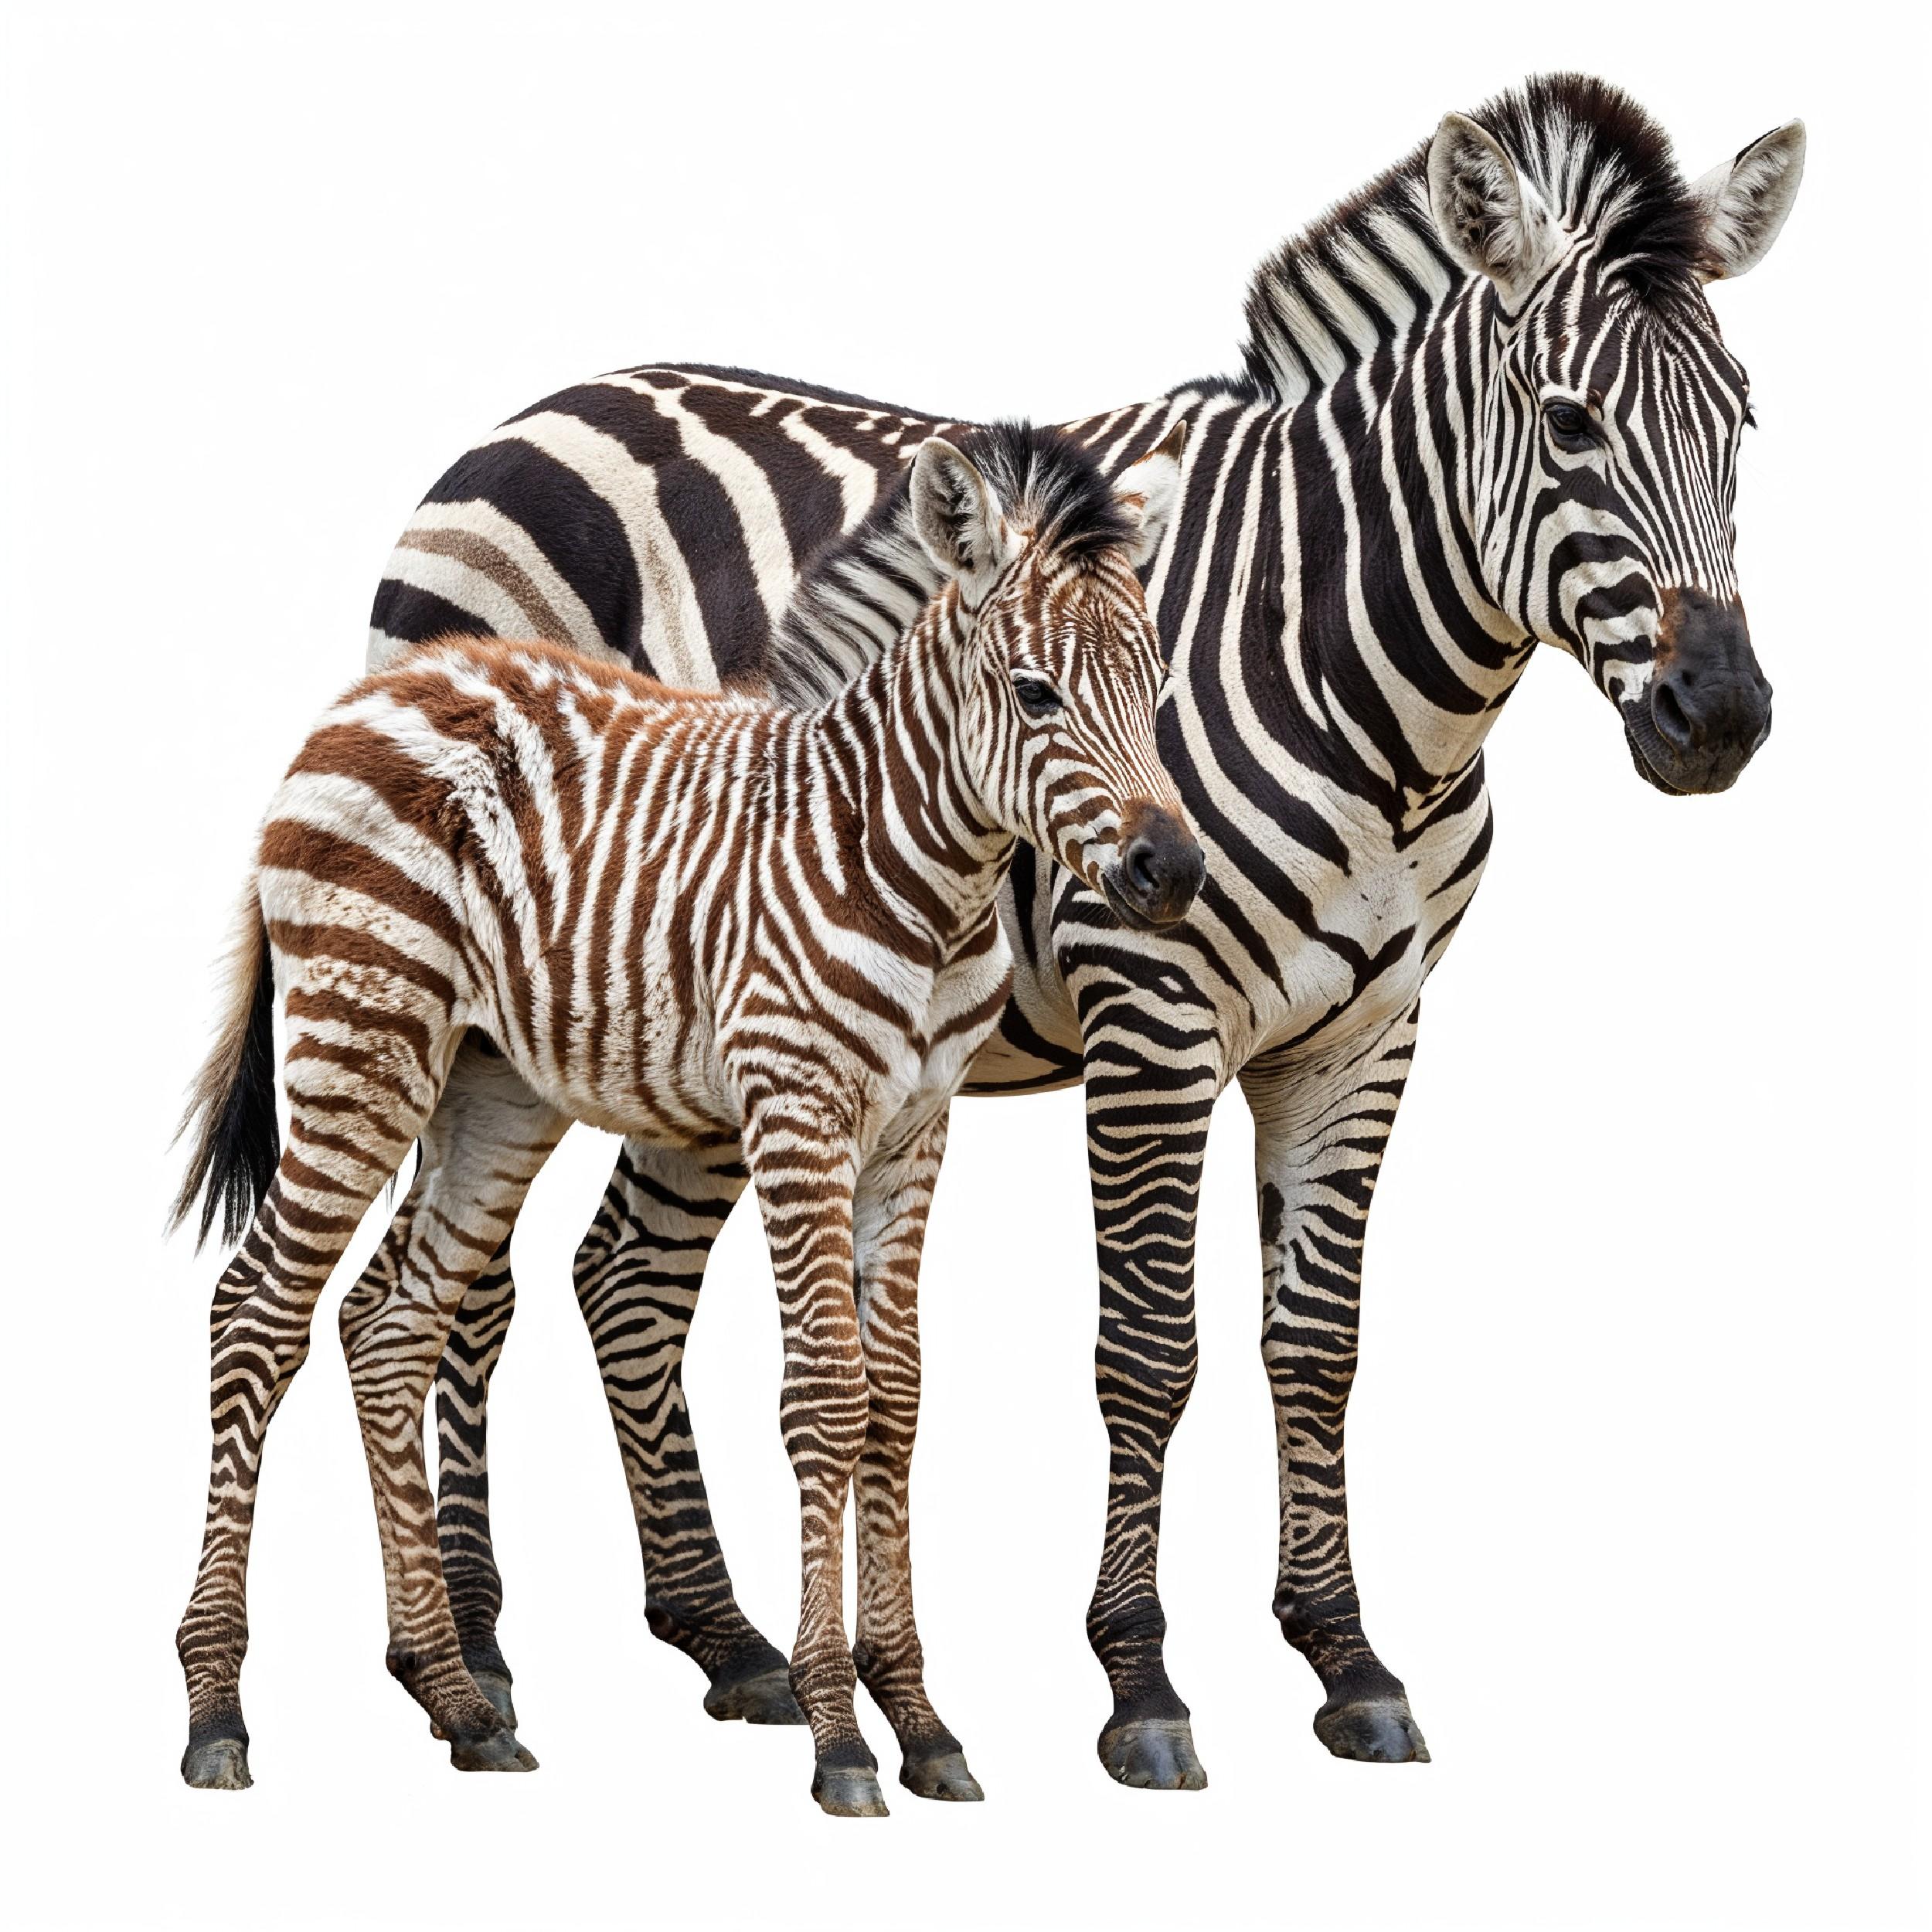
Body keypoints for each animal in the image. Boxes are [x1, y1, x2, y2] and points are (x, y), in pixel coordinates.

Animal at [171, 424, 1201, 1813]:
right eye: (1036, 695)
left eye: (1157, 688)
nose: (1174, 873)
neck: (916, 873)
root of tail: (371, 696)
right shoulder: (797, 1110)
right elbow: (826, 1395)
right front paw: (839, 1737)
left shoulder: (915, 1133)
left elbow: (898, 1400)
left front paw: (922, 1724)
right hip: (361, 1041)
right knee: (254, 1312)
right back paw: (217, 1711)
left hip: (490, 1087)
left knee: (390, 1325)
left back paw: (459, 1702)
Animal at [371, 75, 1805, 1789]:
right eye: (1570, 422)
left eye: (1739, 418)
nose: (1719, 717)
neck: (1367, 684)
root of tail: (534, 411)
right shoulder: (1151, 1014)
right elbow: (1150, 1348)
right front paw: (1140, 1680)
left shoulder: (1363, 1034)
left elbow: (1314, 1343)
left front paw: (1344, 1656)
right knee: (467, 1290)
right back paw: (476, 1655)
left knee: (619, 1278)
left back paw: (726, 1643)